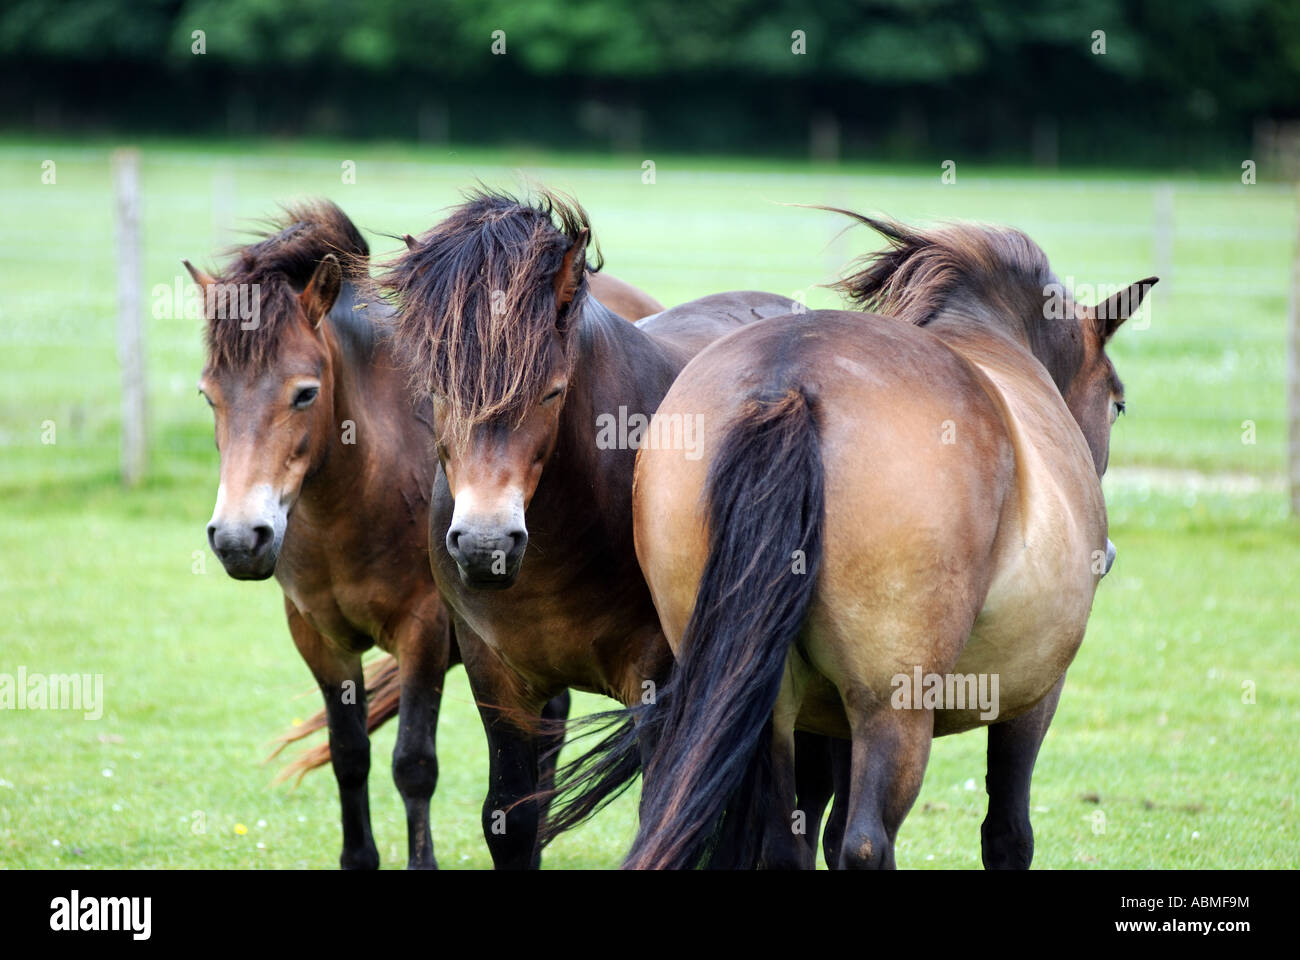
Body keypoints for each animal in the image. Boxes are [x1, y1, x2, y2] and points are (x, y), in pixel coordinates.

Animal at [378, 186, 816, 868]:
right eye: (437, 392)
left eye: (553, 392)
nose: (484, 545)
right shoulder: (497, 679)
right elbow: (511, 818)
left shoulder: (658, 680)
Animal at [548, 212, 1155, 869]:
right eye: (1119, 405)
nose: (1108, 556)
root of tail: (787, 379)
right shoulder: (1035, 697)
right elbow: (1007, 833)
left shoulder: (823, 721)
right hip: (892, 708)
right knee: (867, 841)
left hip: (764, 703)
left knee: (786, 842)